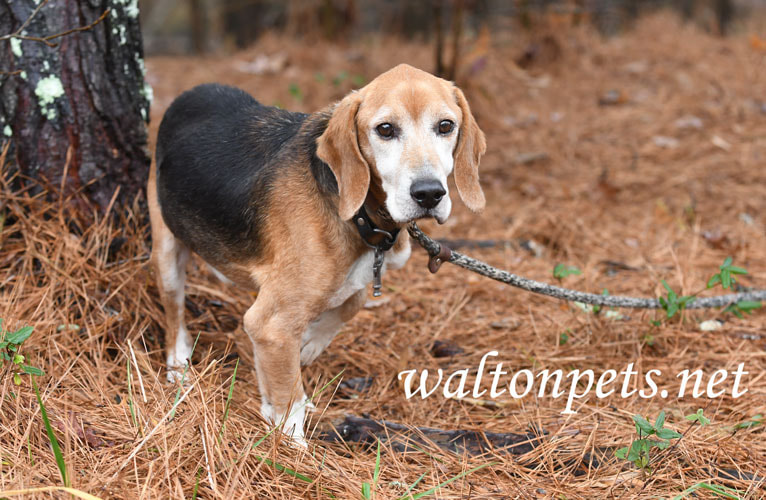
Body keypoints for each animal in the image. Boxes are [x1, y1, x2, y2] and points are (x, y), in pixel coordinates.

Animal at [149, 63, 486, 446]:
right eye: (385, 129)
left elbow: (350, 303)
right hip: (166, 250)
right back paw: (179, 364)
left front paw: (308, 345)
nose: (429, 193)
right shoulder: (270, 323)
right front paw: (291, 444)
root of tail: (190, 93)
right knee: (174, 312)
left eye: (446, 126)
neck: (360, 216)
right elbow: (289, 400)